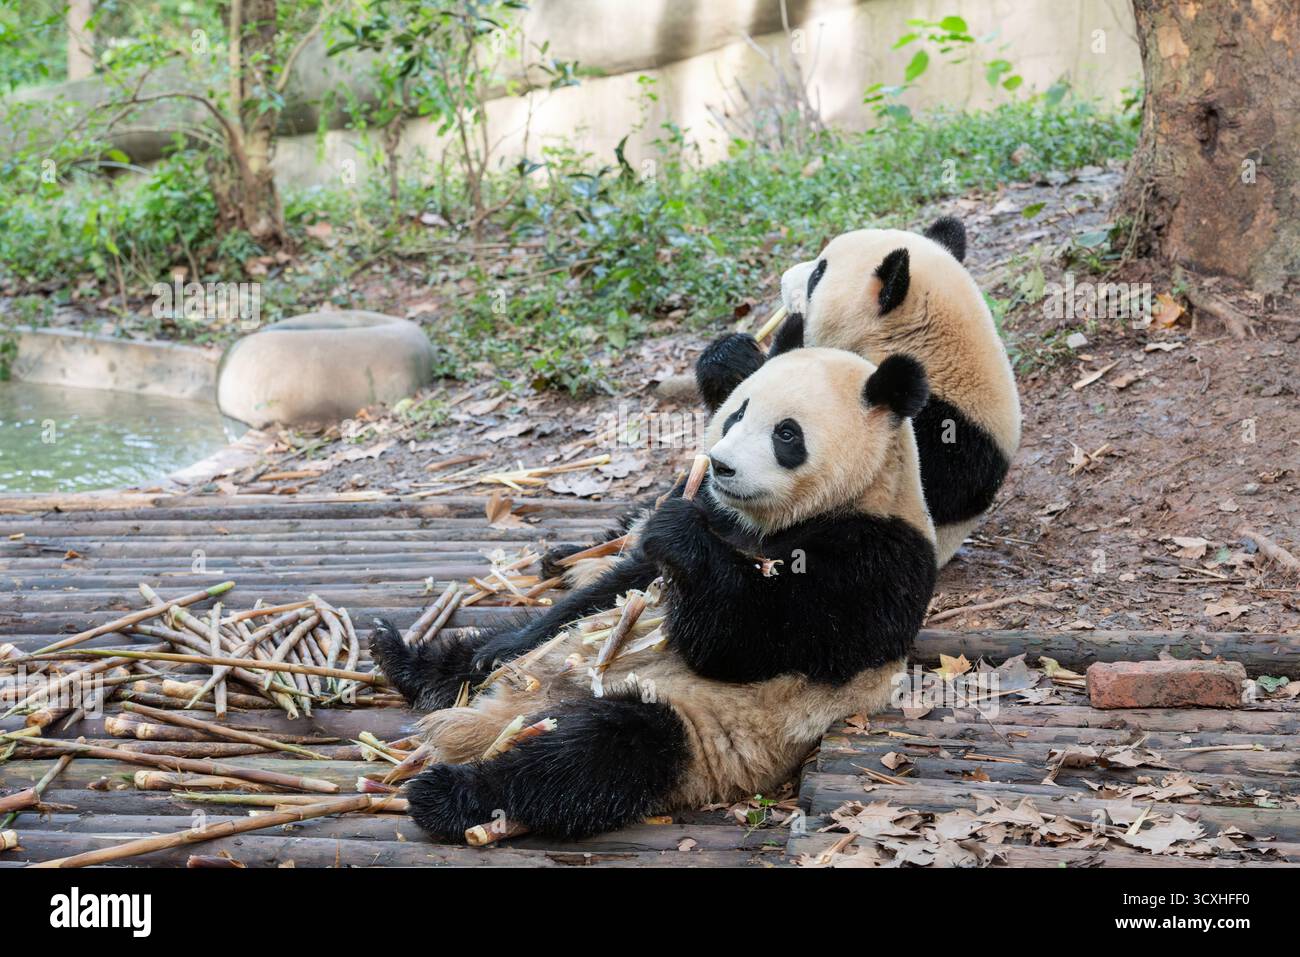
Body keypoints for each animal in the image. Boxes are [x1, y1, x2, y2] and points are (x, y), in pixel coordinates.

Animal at [369, 346, 937, 840]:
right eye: (736, 414)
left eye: (786, 433)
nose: (720, 465)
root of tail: (514, 711)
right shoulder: (718, 512)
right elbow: (621, 585)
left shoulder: (879, 556)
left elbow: (759, 639)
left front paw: (679, 535)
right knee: (502, 650)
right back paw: (407, 657)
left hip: (698, 729)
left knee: (600, 752)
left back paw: (451, 793)